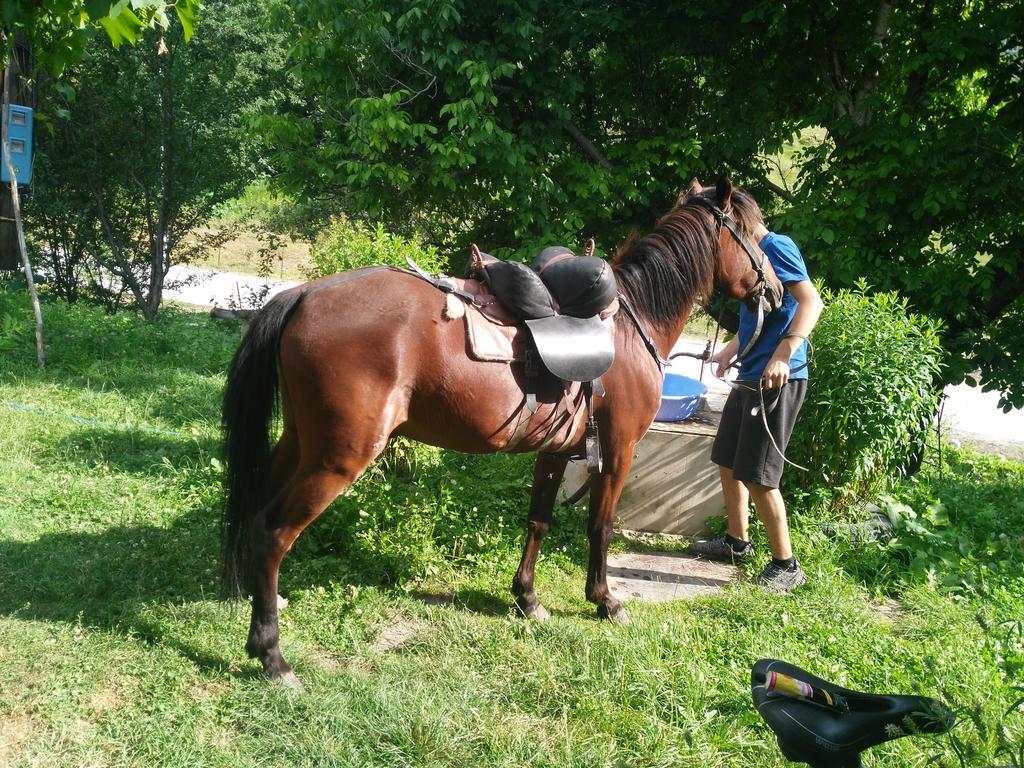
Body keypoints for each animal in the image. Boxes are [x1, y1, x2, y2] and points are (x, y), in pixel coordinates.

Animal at [220, 179, 778, 684]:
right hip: (338, 457)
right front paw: (604, 601)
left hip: (300, 443)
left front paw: (527, 598)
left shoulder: (557, 451)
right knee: (273, 534)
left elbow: (538, 521)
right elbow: (600, 526)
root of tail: (304, 293)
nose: (773, 291)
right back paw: (272, 656)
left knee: (257, 513)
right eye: (756, 233)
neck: (628, 326)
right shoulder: (618, 450)